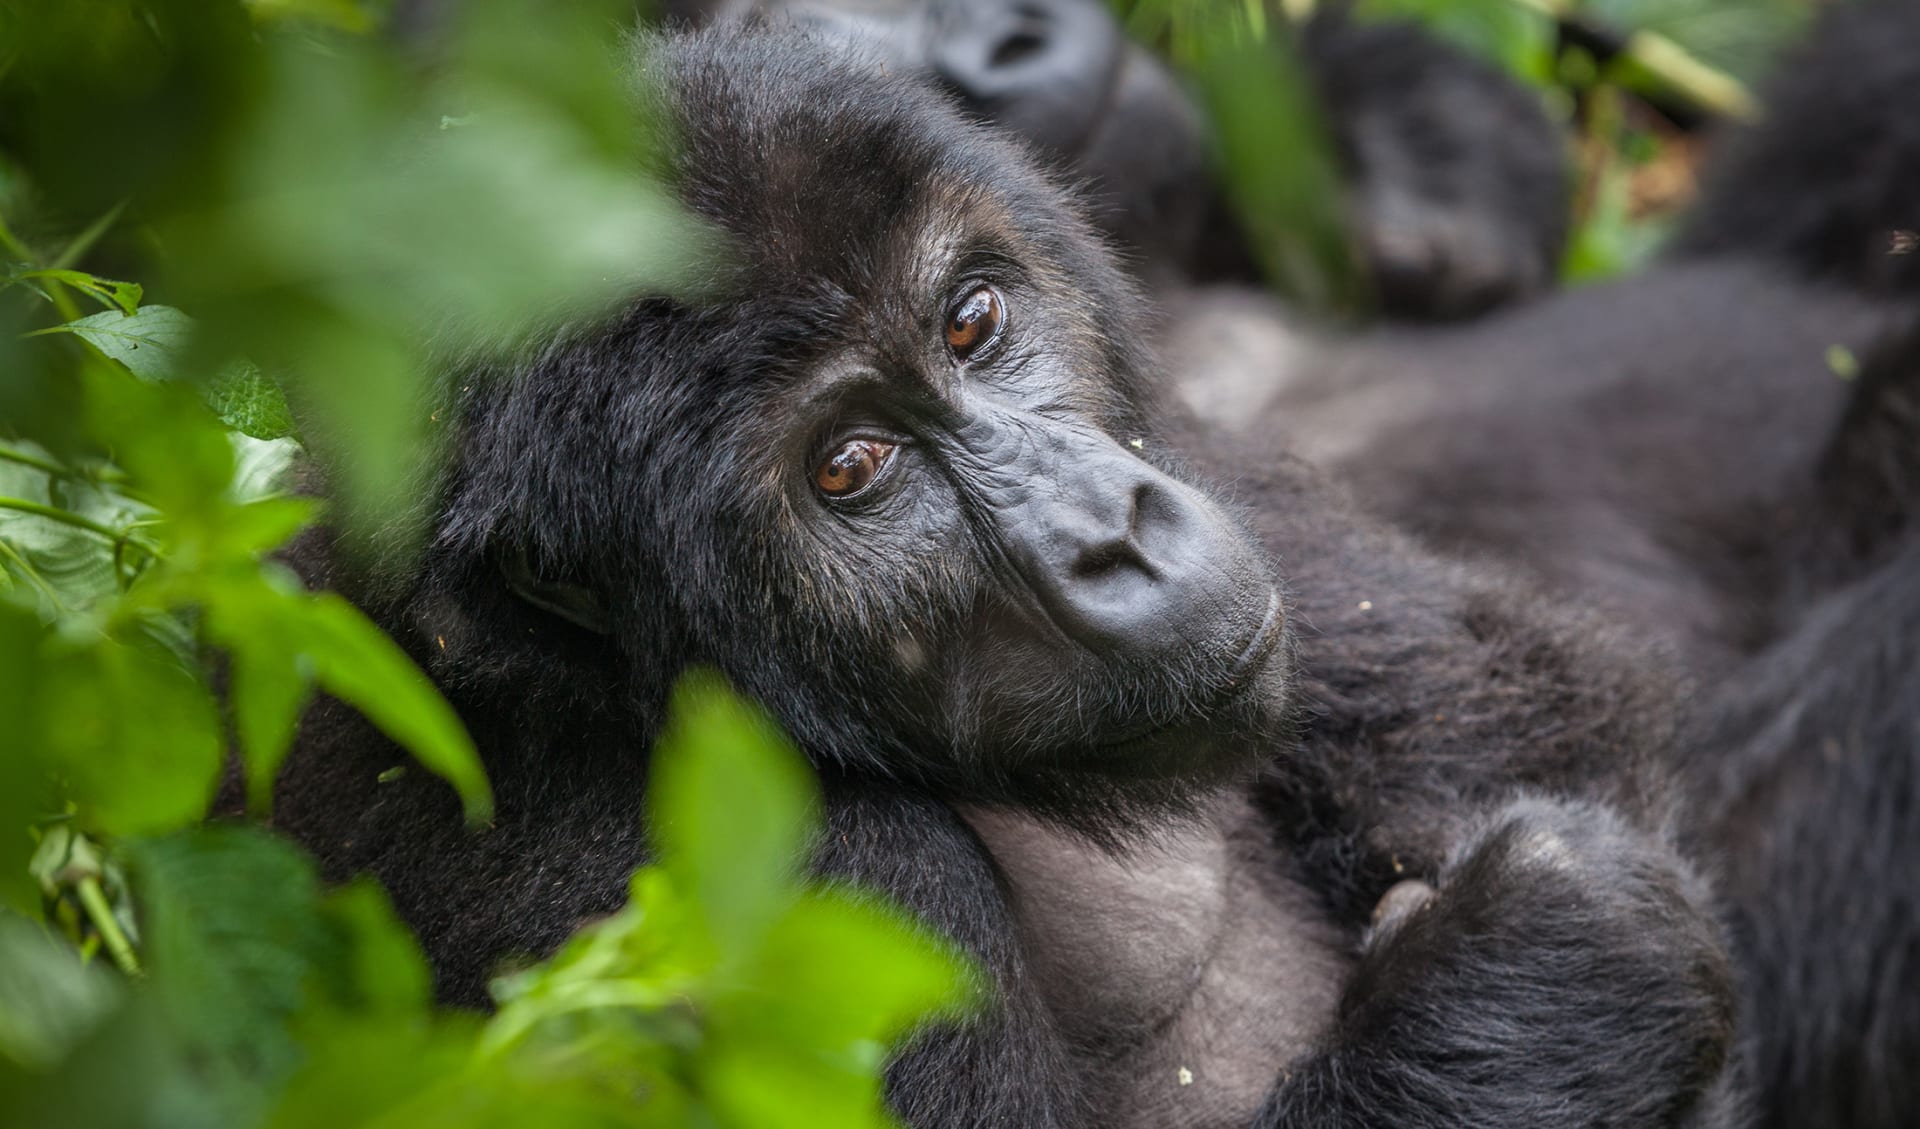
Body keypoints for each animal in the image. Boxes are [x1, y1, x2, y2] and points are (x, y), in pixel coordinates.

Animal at [270, 19, 1758, 1129]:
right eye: (849, 466)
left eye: (973, 321)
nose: (1116, 530)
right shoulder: (742, 874)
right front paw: (1563, 941)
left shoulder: (1191, 433)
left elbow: (1557, 721)